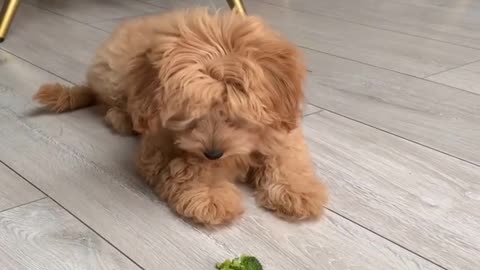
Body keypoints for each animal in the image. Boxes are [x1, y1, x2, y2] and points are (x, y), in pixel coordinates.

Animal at [32, 8, 326, 225]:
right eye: (191, 114)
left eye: (234, 113)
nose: (213, 153)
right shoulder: (159, 146)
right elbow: (187, 166)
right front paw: (209, 197)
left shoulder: (280, 127)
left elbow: (287, 157)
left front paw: (297, 191)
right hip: (114, 77)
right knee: (107, 103)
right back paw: (122, 118)